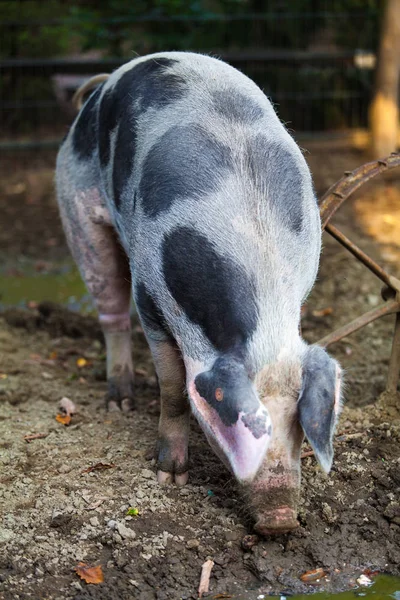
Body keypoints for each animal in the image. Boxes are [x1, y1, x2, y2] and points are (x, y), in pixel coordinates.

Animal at [56, 51, 342, 536]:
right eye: (239, 427)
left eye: (298, 425)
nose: (281, 520)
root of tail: (106, 82)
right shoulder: (150, 294)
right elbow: (173, 388)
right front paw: (169, 476)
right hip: (76, 209)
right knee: (110, 313)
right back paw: (120, 402)